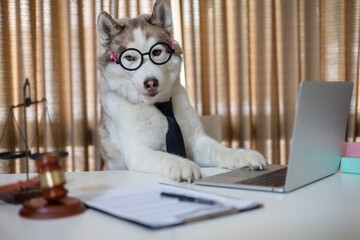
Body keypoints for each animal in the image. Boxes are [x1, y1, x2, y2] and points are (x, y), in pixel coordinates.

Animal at [96, 0, 268, 182]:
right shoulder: (138, 151)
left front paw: (241, 155)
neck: (160, 107)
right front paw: (182, 164)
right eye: (129, 57)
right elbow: (164, 156)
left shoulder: (196, 140)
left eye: (156, 51)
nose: (151, 83)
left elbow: (218, 148)